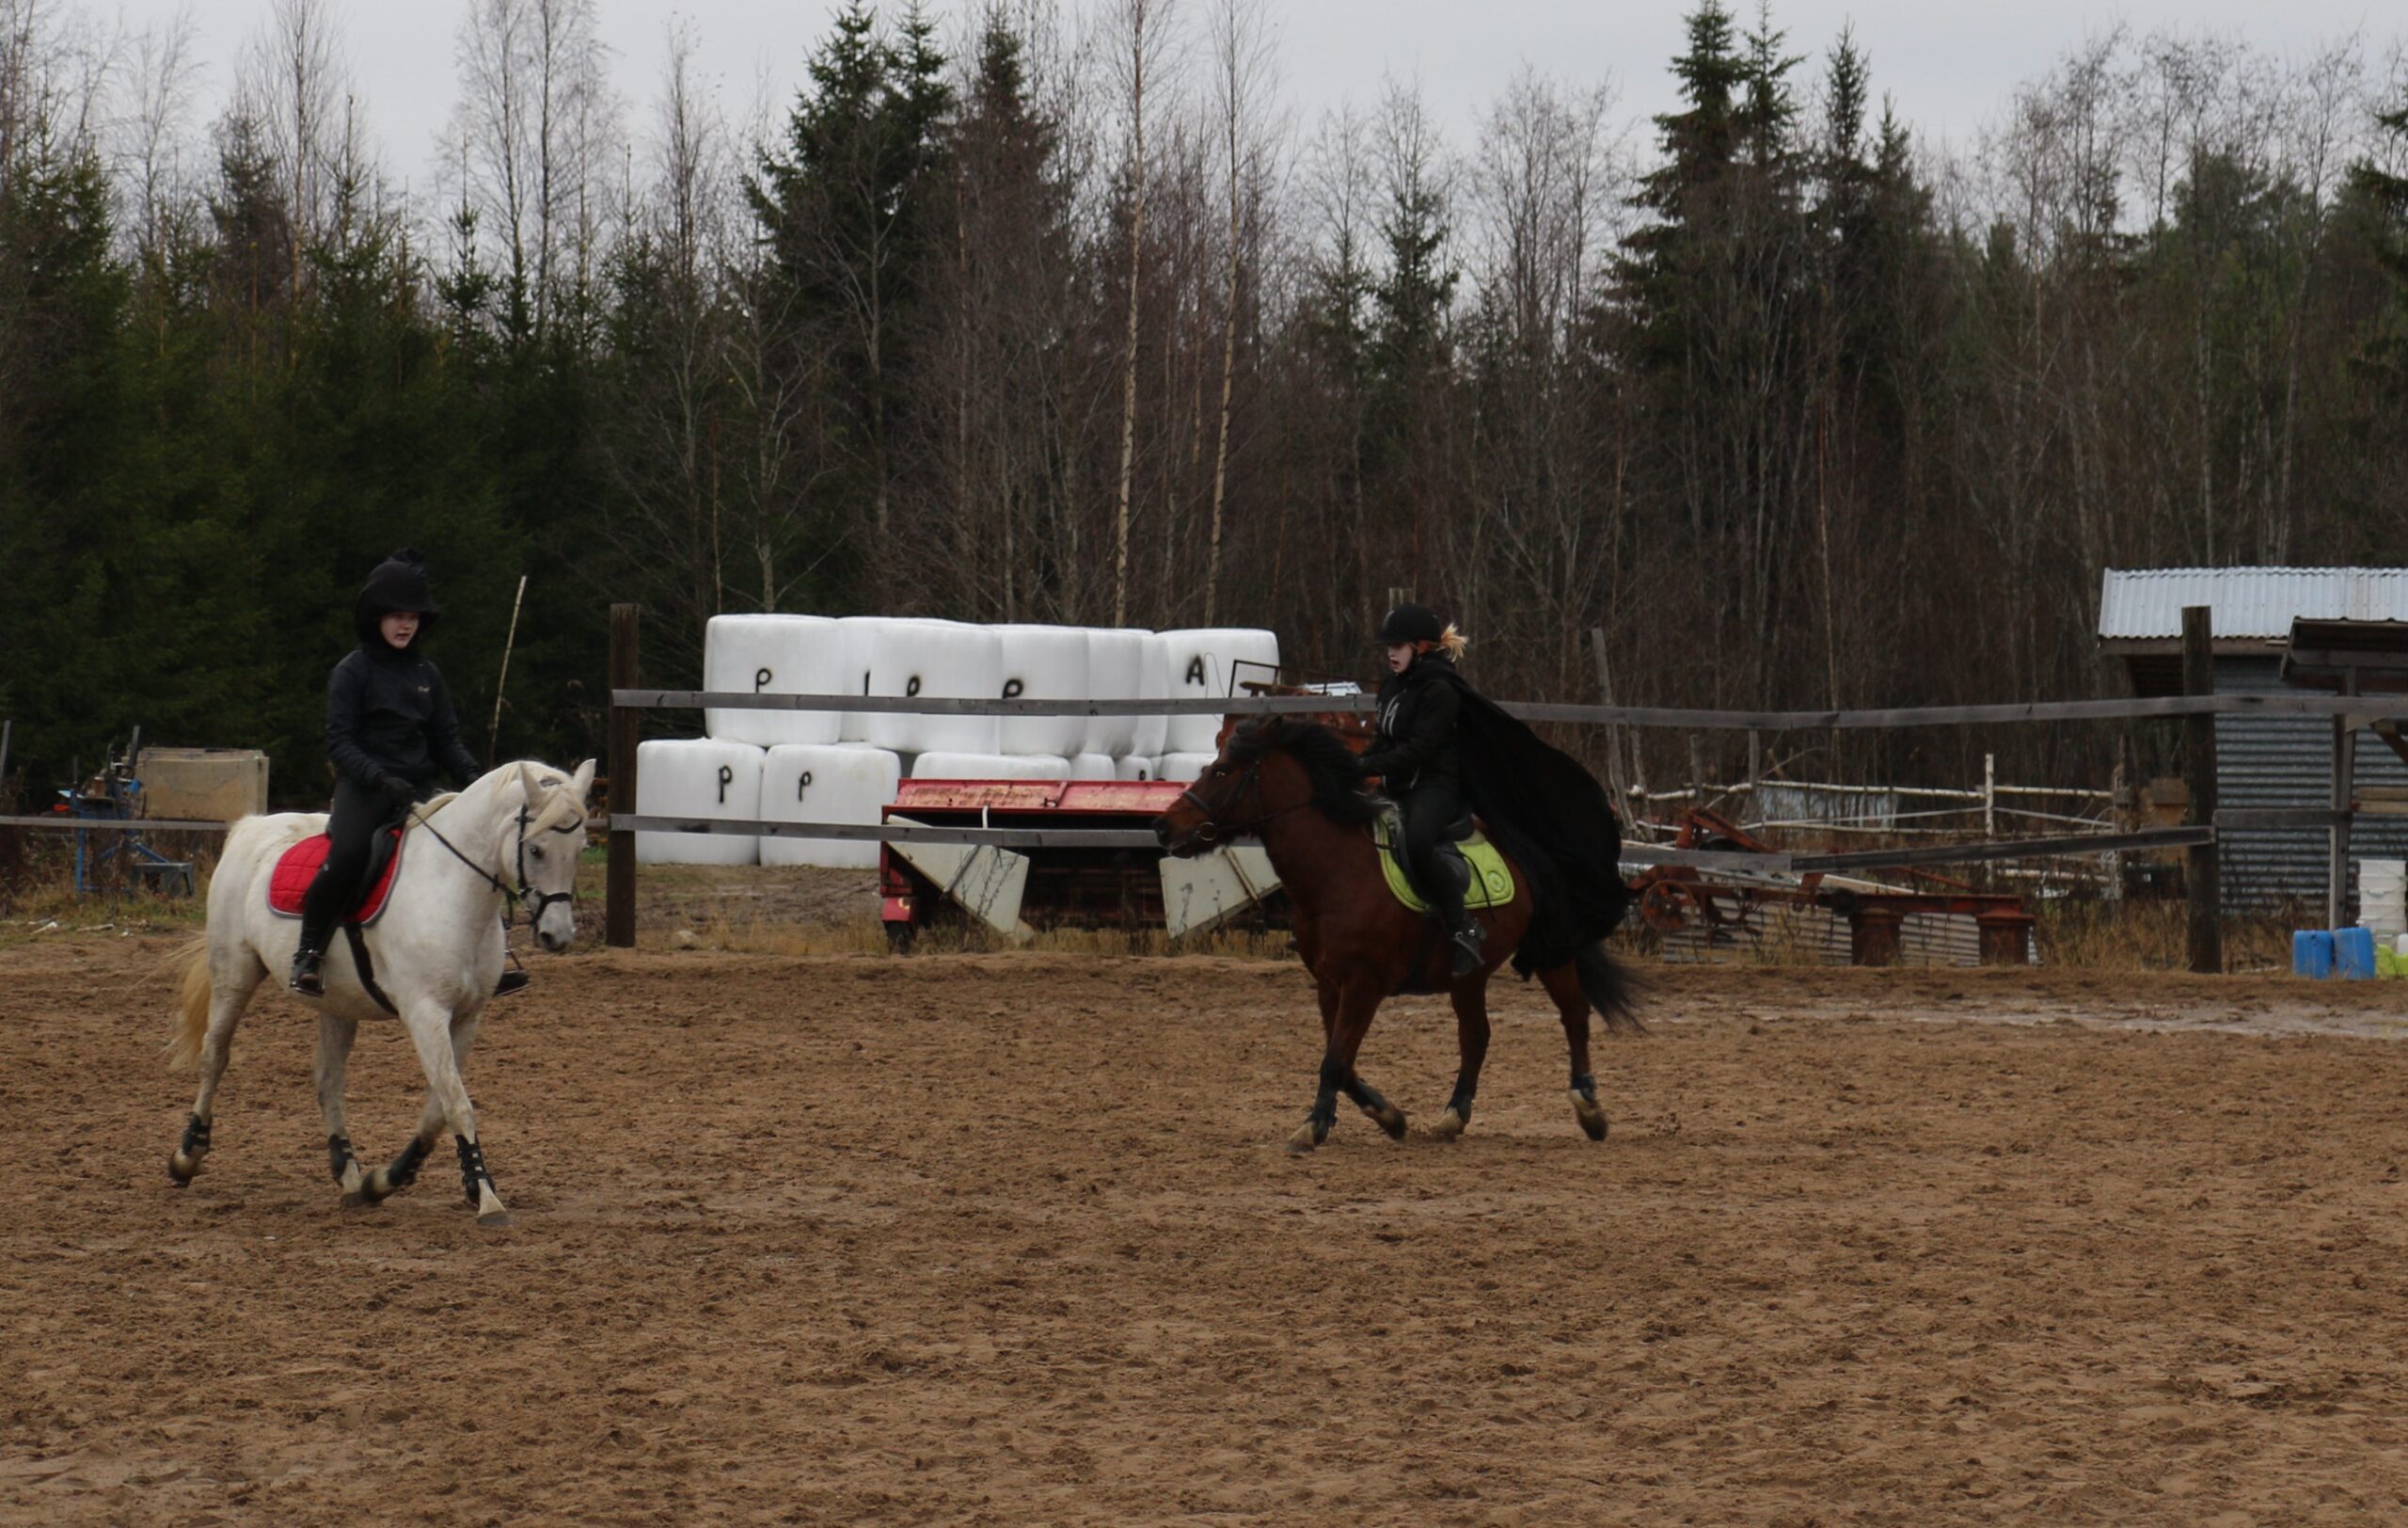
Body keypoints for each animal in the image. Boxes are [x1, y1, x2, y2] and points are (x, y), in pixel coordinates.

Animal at [166, 756, 594, 1224]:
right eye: (535, 850)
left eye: (580, 849)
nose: (558, 936)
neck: (450, 889)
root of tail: (252, 826)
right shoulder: (425, 1012)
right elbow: (457, 1103)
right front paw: (486, 1198)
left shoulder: (467, 1016)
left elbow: (438, 1109)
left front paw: (386, 1181)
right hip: (234, 973)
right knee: (215, 1055)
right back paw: (187, 1155)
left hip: (335, 1003)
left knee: (328, 1081)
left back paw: (350, 1176)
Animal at [1155, 718, 1647, 1147]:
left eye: (1222, 771)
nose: (1163, 825)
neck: (1335, 869)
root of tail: (1527, 840)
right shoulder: (1329, 984)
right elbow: (1341, 1060)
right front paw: (1388, 1116)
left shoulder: (1363, 984)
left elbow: (1335, 1060)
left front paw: (1314, 1127)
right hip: (1468, 975)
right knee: (1477, 1035)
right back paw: (1453, 1116)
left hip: (1552, 950)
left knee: (1574, 1016)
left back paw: (1589, 1109)